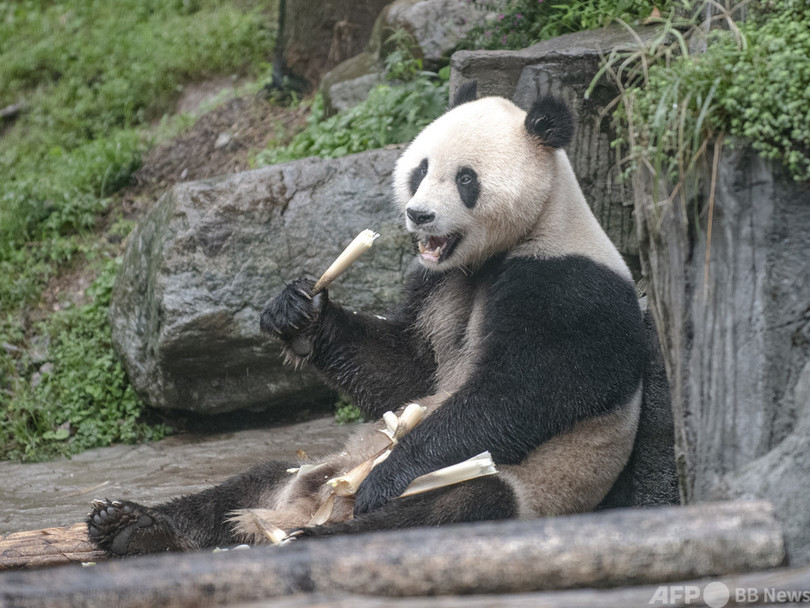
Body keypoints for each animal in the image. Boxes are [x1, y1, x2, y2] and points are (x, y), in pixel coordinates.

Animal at [87, 82, 652, 556]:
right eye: (421, 169)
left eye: (466, 179)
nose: (419, 215)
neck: (525, 234)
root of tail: (302, 506)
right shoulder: (437, 283)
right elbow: (406, 374)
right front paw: (299, 313)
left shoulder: (568, 289)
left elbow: (515, 394)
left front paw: (388, 475)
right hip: (309, 468)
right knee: (245, 484)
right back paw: (134, 526)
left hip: (526, 490)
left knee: (455, 505)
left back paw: (324, 532)